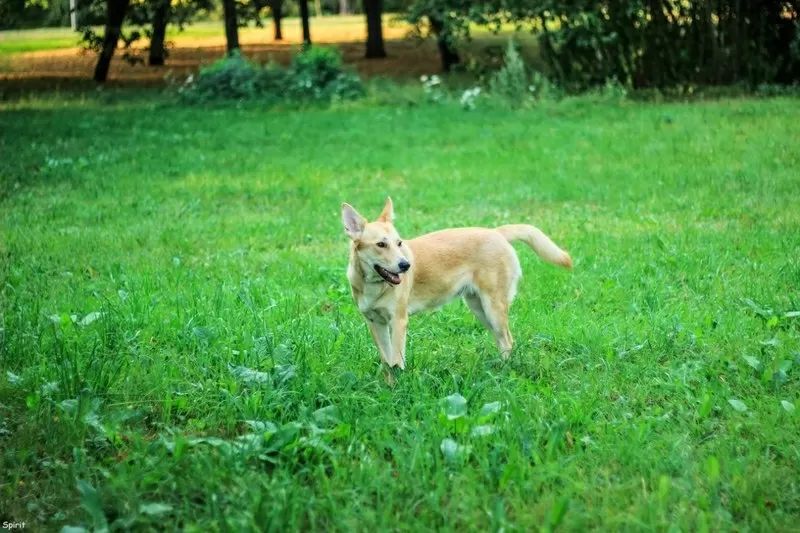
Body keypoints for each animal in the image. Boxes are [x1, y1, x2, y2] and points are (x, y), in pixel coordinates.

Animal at [340, 197, 572, 376]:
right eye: (381, 244)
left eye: (399, 243)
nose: (406, 265)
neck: (372, 285)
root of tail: (496, 232)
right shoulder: (375, 323)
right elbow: (387, 362)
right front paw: (389, 385)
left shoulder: (398, 321)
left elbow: (396, 362)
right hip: (479, 309)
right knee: (502, 340)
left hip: (493, 309)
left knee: (507, 340)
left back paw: (504, 373)